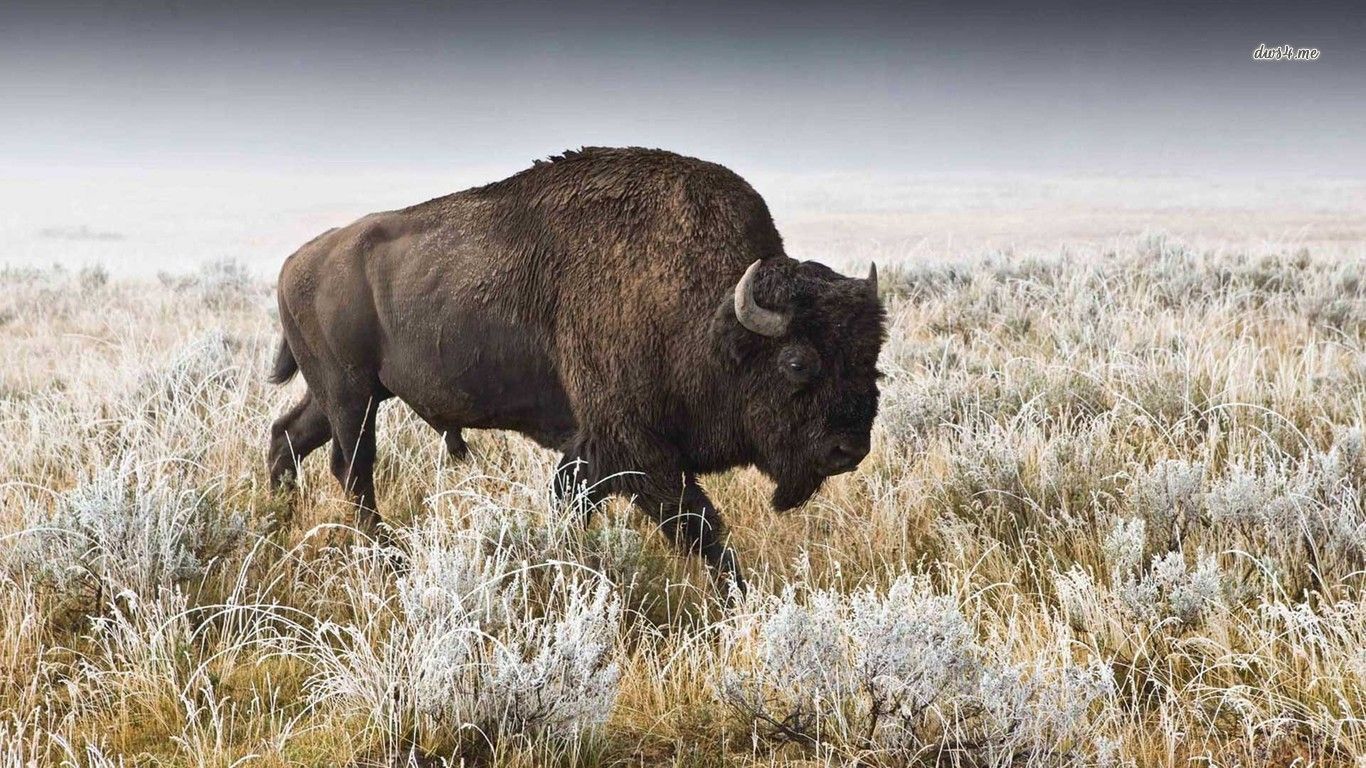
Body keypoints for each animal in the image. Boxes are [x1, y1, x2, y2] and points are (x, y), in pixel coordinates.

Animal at [266, 147, 886, 592]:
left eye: (873, 360)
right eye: (797, 362)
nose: (848, 449)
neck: (708, 313)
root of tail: (296, 262)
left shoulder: (598, 451)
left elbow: (580, 505)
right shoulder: (638, 452)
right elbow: (699, 527)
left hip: (342, 394)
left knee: (287, 437)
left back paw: (276, 523)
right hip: (351, 393)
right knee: (352, 467)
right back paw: (386, 558)